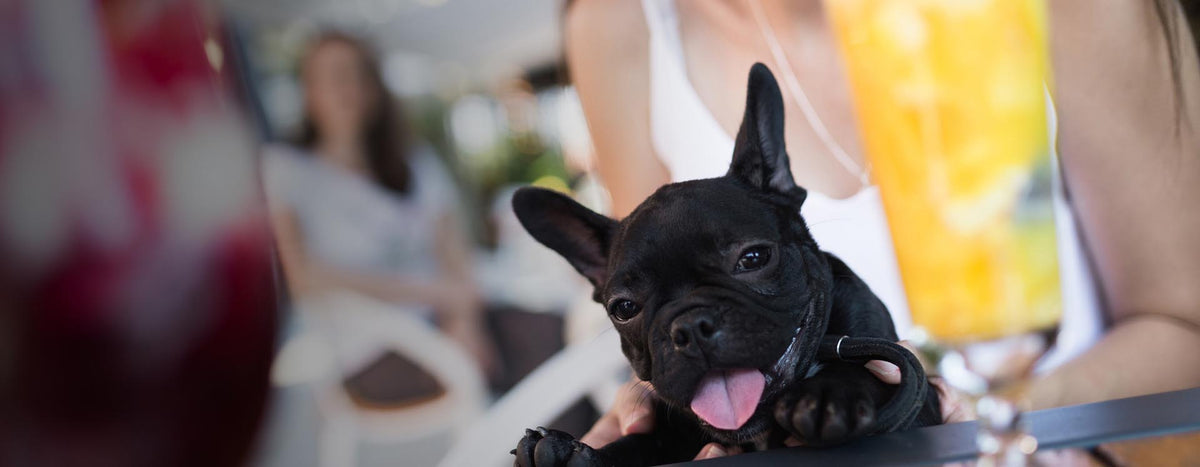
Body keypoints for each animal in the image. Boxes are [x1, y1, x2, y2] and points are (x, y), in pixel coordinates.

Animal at [506, 62, 936, 465]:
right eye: (624, 308)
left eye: (754, 258)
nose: (690, 327)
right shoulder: (671, 431)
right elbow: (638, 444)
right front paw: (568, 450)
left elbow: (867, 372)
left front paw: (831, 392)